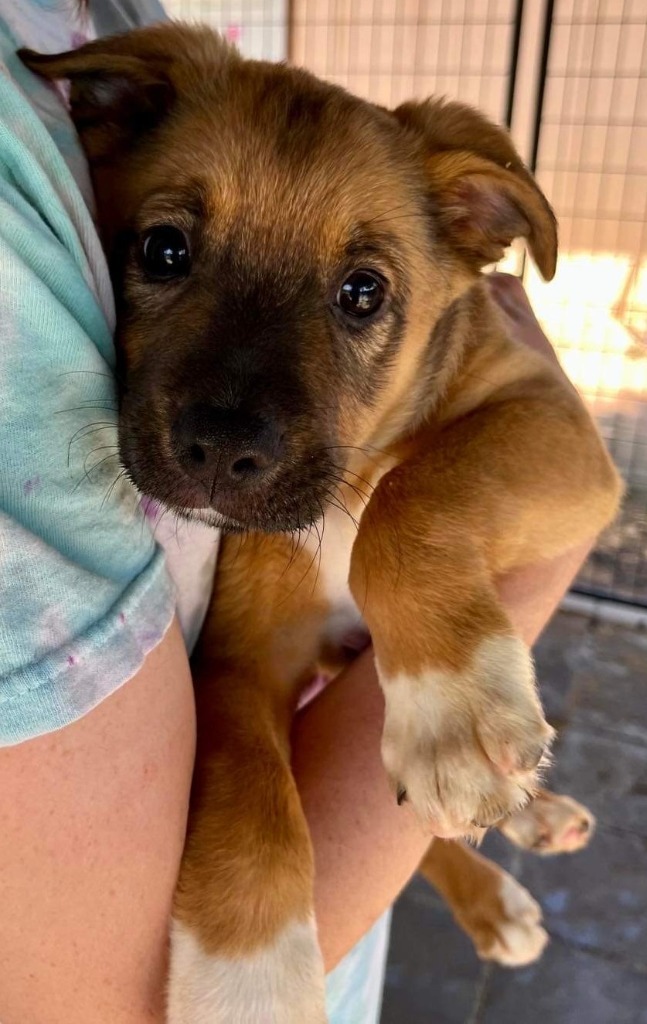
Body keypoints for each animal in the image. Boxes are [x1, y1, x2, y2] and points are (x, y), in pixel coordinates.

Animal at [21, 25, 622, 1024]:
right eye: (165, 250)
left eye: (363, 293)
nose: (219, 455)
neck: (353, 470)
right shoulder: (239, 662)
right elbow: (251, 812)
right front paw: (250, 982)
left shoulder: (555, 422)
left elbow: (413, 495)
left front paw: (450, 707)